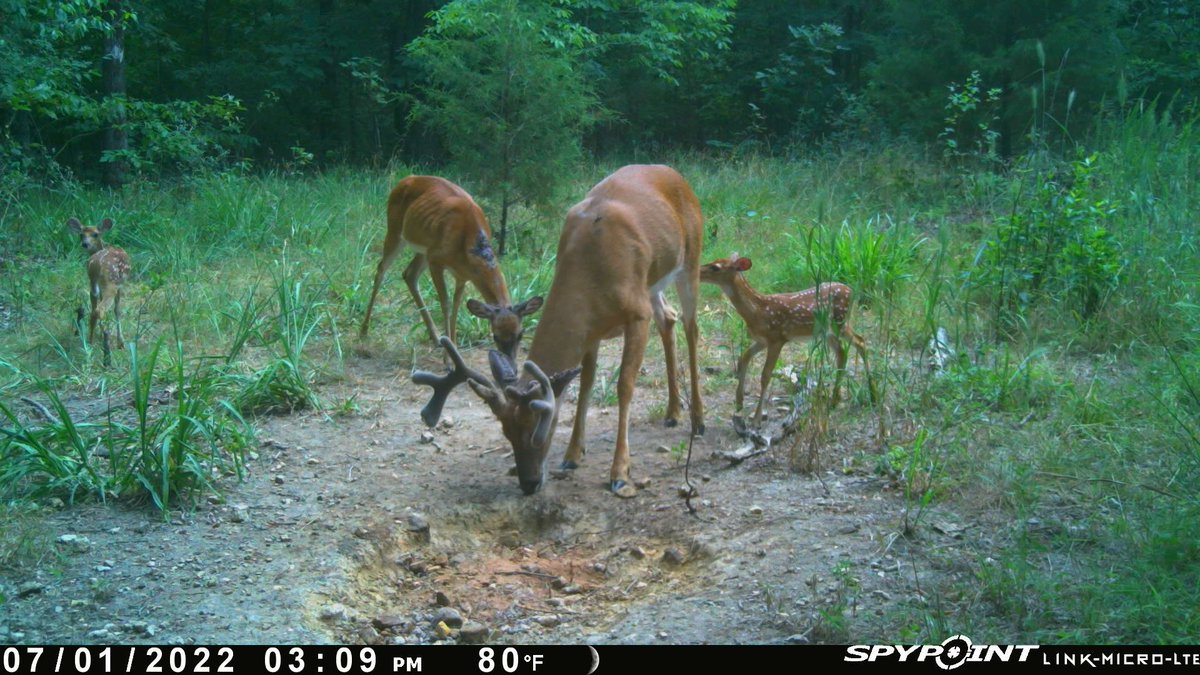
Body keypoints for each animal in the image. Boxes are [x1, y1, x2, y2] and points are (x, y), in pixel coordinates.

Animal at [68, 217, 131, 356]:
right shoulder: (120, 285)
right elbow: (117, 310)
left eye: (95, 234)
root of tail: (95, 264)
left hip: (92, 282)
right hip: (111, 282)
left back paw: (90, 342)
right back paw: (104, 343)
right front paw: (120, 343)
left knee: (93, 310)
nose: (85, 244)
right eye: (81, 235)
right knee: (100, 309)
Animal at [360, 175, 540, 361]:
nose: (509, 360)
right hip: (396, 231)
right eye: (495, 335)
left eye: (520, 333)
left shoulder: (462, 275)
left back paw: (435, 337)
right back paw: (364, 329)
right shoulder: (436, 261)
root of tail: (406, 179)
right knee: (381, 269)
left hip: (424, 250)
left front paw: (453, 348)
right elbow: (445, 304)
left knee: (409, 274)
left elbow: (456, 307)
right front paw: (447, 359)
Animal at [414, 165, 706, 498]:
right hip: (655, 283)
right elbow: (586, 384)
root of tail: (674, 174)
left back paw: (698, 419)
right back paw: (672, 413)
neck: (592, 274)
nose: (528, 484)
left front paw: (619, 472)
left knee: (692, 328)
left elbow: (624, 386)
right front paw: (572, 456)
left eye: (538, 428)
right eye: (505, 431)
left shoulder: (636, 313)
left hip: (691, 260)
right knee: (668, 319)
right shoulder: (592, 330)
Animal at [699, 254, 876, 423]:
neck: (757, 311)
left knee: (860, 342)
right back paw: (835, 400)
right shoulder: (762, 340)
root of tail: (851, 291)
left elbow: (765, 375)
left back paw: (872, 395)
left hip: (840, 321)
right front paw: (739, 402)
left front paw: (756, 419)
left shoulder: (778, 338)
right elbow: (744, 358)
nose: (698, 272)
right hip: (827, 331)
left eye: (715, 267)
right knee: (842, 353)